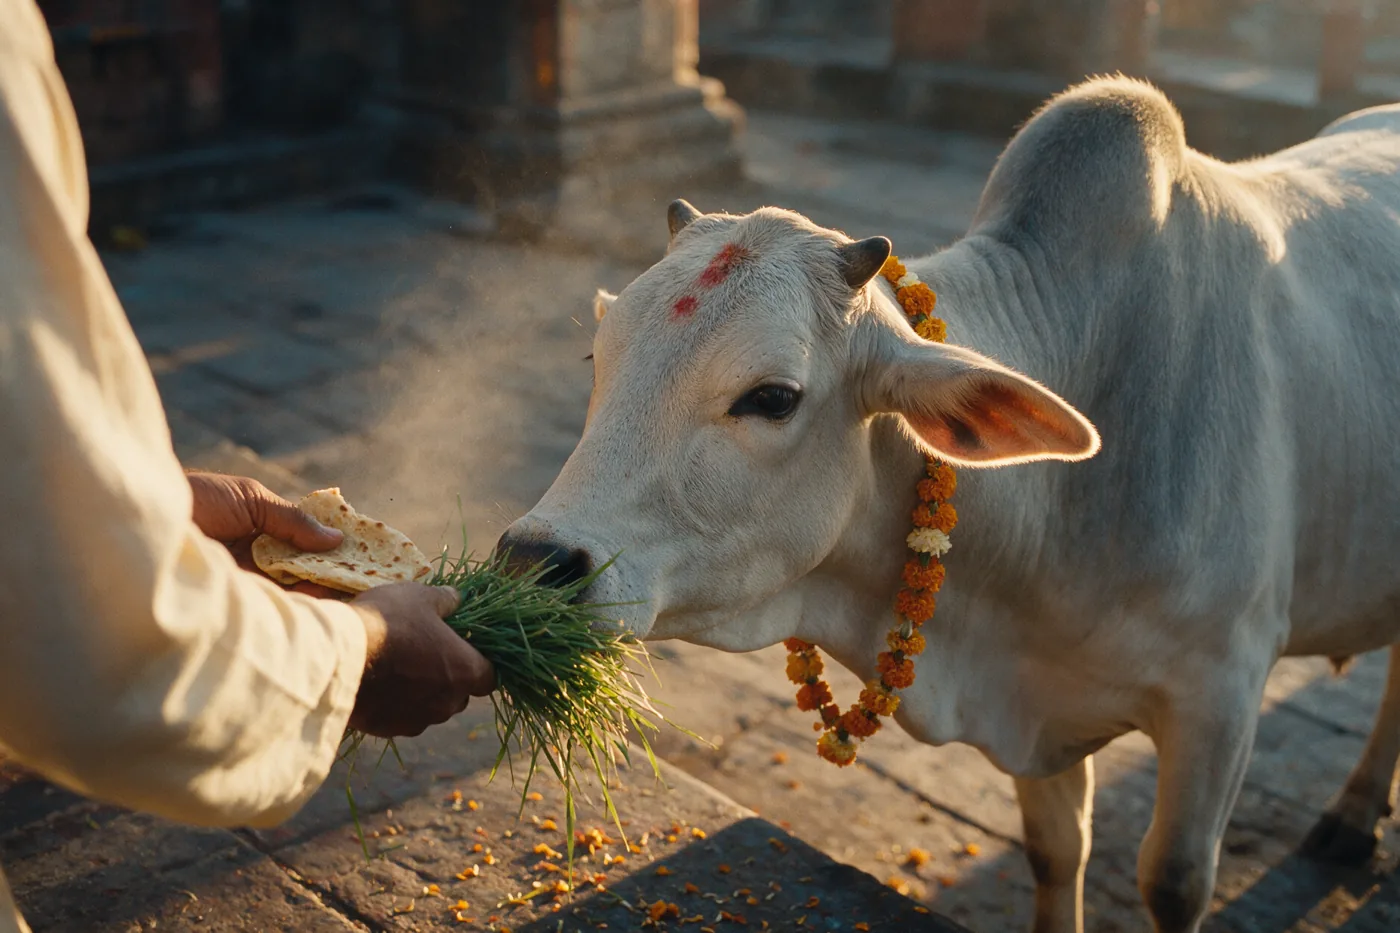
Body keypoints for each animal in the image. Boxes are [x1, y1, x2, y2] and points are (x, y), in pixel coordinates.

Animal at [495, 77, 1400, 933]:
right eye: (597, 356)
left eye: (772, 397)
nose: (533, 562)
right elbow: (1054, 851)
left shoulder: (1223, 691)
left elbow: (1173, 881)